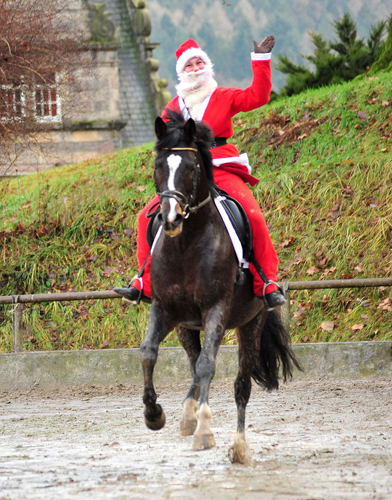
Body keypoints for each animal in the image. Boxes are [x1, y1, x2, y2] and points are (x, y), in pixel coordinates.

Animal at [139, 110, 300, 464]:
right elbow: (148, 353)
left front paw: (204, 431)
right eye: (158, 166)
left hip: (250, 323)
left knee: (239, 384)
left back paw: (238, 446)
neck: (185, 243)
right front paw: (154, 414)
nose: (170, 218)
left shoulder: (216, 309)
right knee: (193, 363)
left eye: (190, 167)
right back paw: (188, 414)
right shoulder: (164, 309)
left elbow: (208, 367)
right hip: (188, 326)